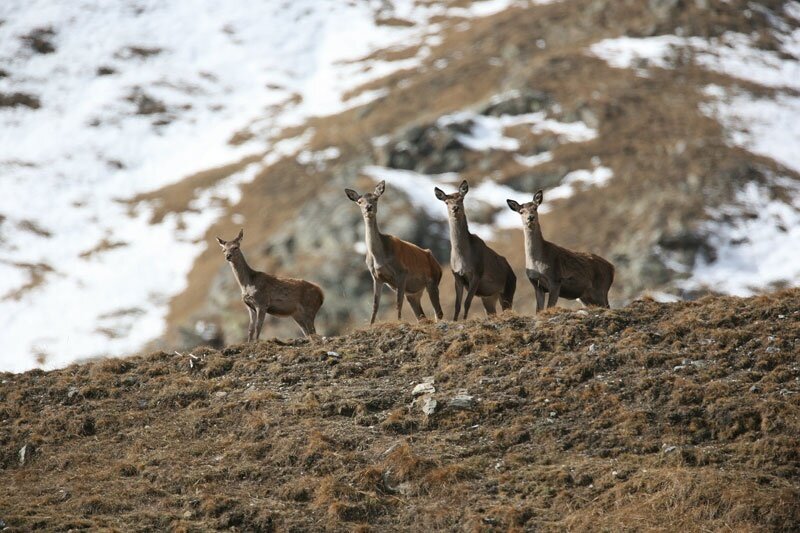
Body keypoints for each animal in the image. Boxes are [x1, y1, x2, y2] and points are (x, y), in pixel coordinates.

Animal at [345, 180, 444, 324]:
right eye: (359, 201)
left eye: (375, 198)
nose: (368, 207)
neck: (379, 257)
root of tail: (438, 265)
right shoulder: (376, 277)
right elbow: (375, 305)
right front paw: (371, 324)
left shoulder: (402, 272)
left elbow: (398, 302)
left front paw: (399, 321)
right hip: (413, 293)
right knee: (421, 316)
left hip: (433, 280)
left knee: (438, 312)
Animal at [434, 180, 516, 320]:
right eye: (446, 202)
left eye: (461, 199)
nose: (455, 208)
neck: (462, 258)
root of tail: (513, 273)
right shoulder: (457, 276)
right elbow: (457, 305)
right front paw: (455, 320)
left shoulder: (477, 273)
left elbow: (467, 303)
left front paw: (464, 319)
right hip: (489, 297)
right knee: (492, 311)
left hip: (508, 290)